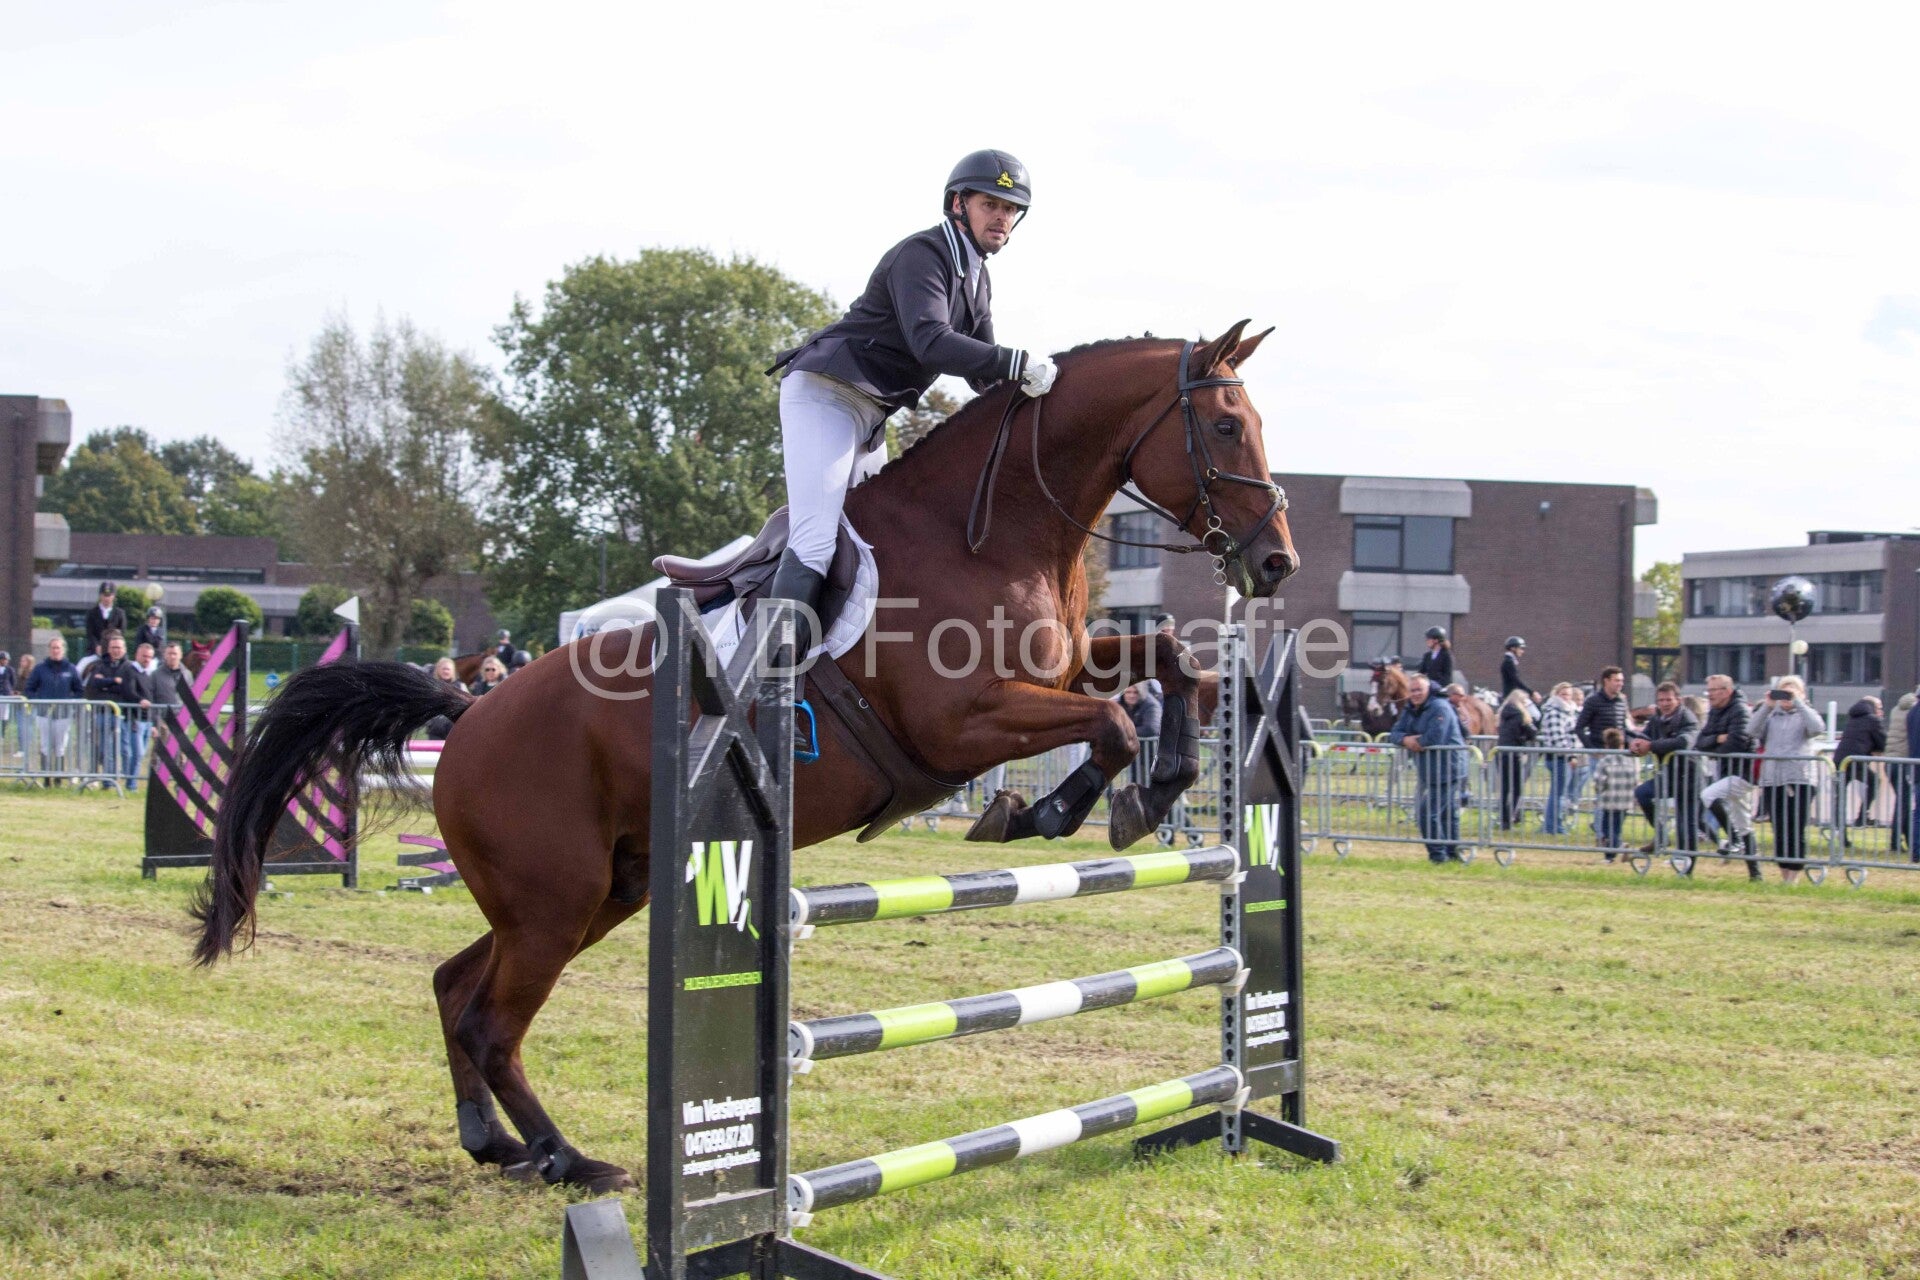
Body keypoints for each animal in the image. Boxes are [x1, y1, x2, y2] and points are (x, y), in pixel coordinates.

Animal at [191, 322, 1299, 1195]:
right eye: (1227, 426)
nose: (1276, 560)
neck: (993, 530)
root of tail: (467, 714)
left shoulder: (1062, 667)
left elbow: (1173, 669)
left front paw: (1161, 784)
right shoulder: (964, 722)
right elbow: (1109, 721)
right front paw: (1053, 811)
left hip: (600, 891)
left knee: (455, 987)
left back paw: (495, 1144)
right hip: (555, 901)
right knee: (492, 1023)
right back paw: (570, 1158)